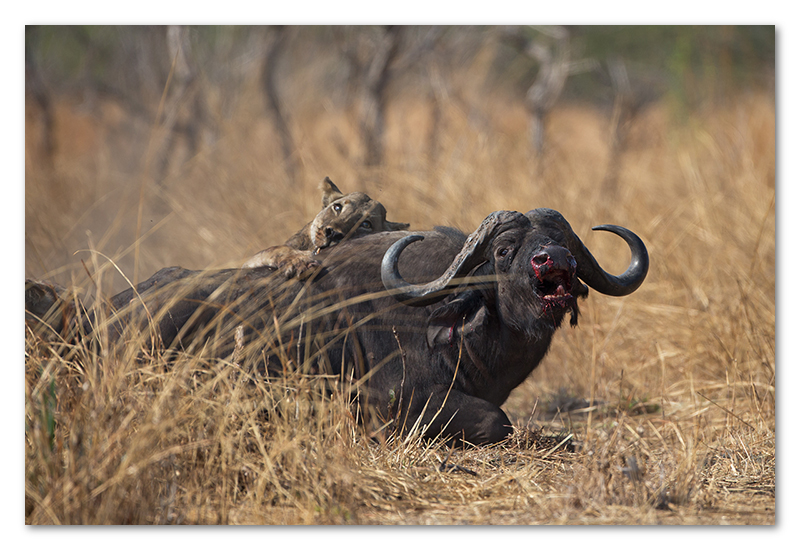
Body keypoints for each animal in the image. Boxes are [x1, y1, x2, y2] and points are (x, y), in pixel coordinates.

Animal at [26, 209, 648, 446]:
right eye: (504, 248)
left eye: (564, 243)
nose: (553, 262)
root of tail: (103, 316)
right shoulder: (396, 399)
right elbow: (499, 420)